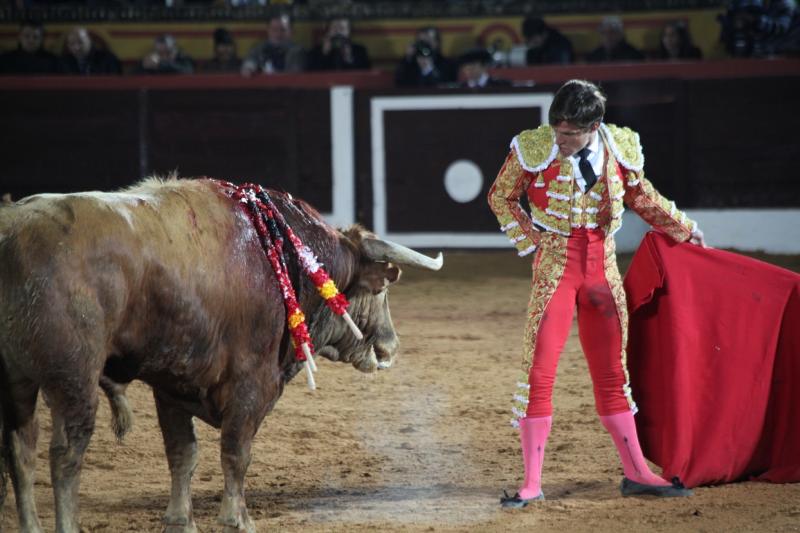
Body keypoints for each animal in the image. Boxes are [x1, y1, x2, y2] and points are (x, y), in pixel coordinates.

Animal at [0, 177, 444, 528]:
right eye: (382, 290)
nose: (390, 345)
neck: (284, 257)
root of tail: (11, 233)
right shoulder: (253, 381)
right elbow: (235, 450)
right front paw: (237, 518)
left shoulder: (171, 383)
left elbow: (182, 453)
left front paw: (180, 520)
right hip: (73, 378)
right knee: (65, 454)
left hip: (18, 382)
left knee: (21, 451)